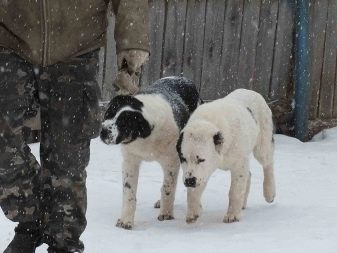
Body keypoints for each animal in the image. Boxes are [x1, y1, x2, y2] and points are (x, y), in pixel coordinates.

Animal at [100, 76, 200, 229]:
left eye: (124, 123)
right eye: (108, 114)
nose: (104, 132)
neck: (143, 134)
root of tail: (184, 78)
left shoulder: (171, 162)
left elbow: (168, 188)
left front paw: (166, 214)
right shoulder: (130, 160)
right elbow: (129, 192)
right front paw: (125, 220)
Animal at [177, 88, 274, 223]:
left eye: (201, 160)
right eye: (183, 159)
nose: (189, 181)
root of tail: (252, 91)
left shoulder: (239, 164)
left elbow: (235, 191)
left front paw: (232, 215)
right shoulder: (201, 172)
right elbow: (193, 192)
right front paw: (193, 212)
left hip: (262, 145)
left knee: (268, 163)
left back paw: (269, 192)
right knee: (249, 175)